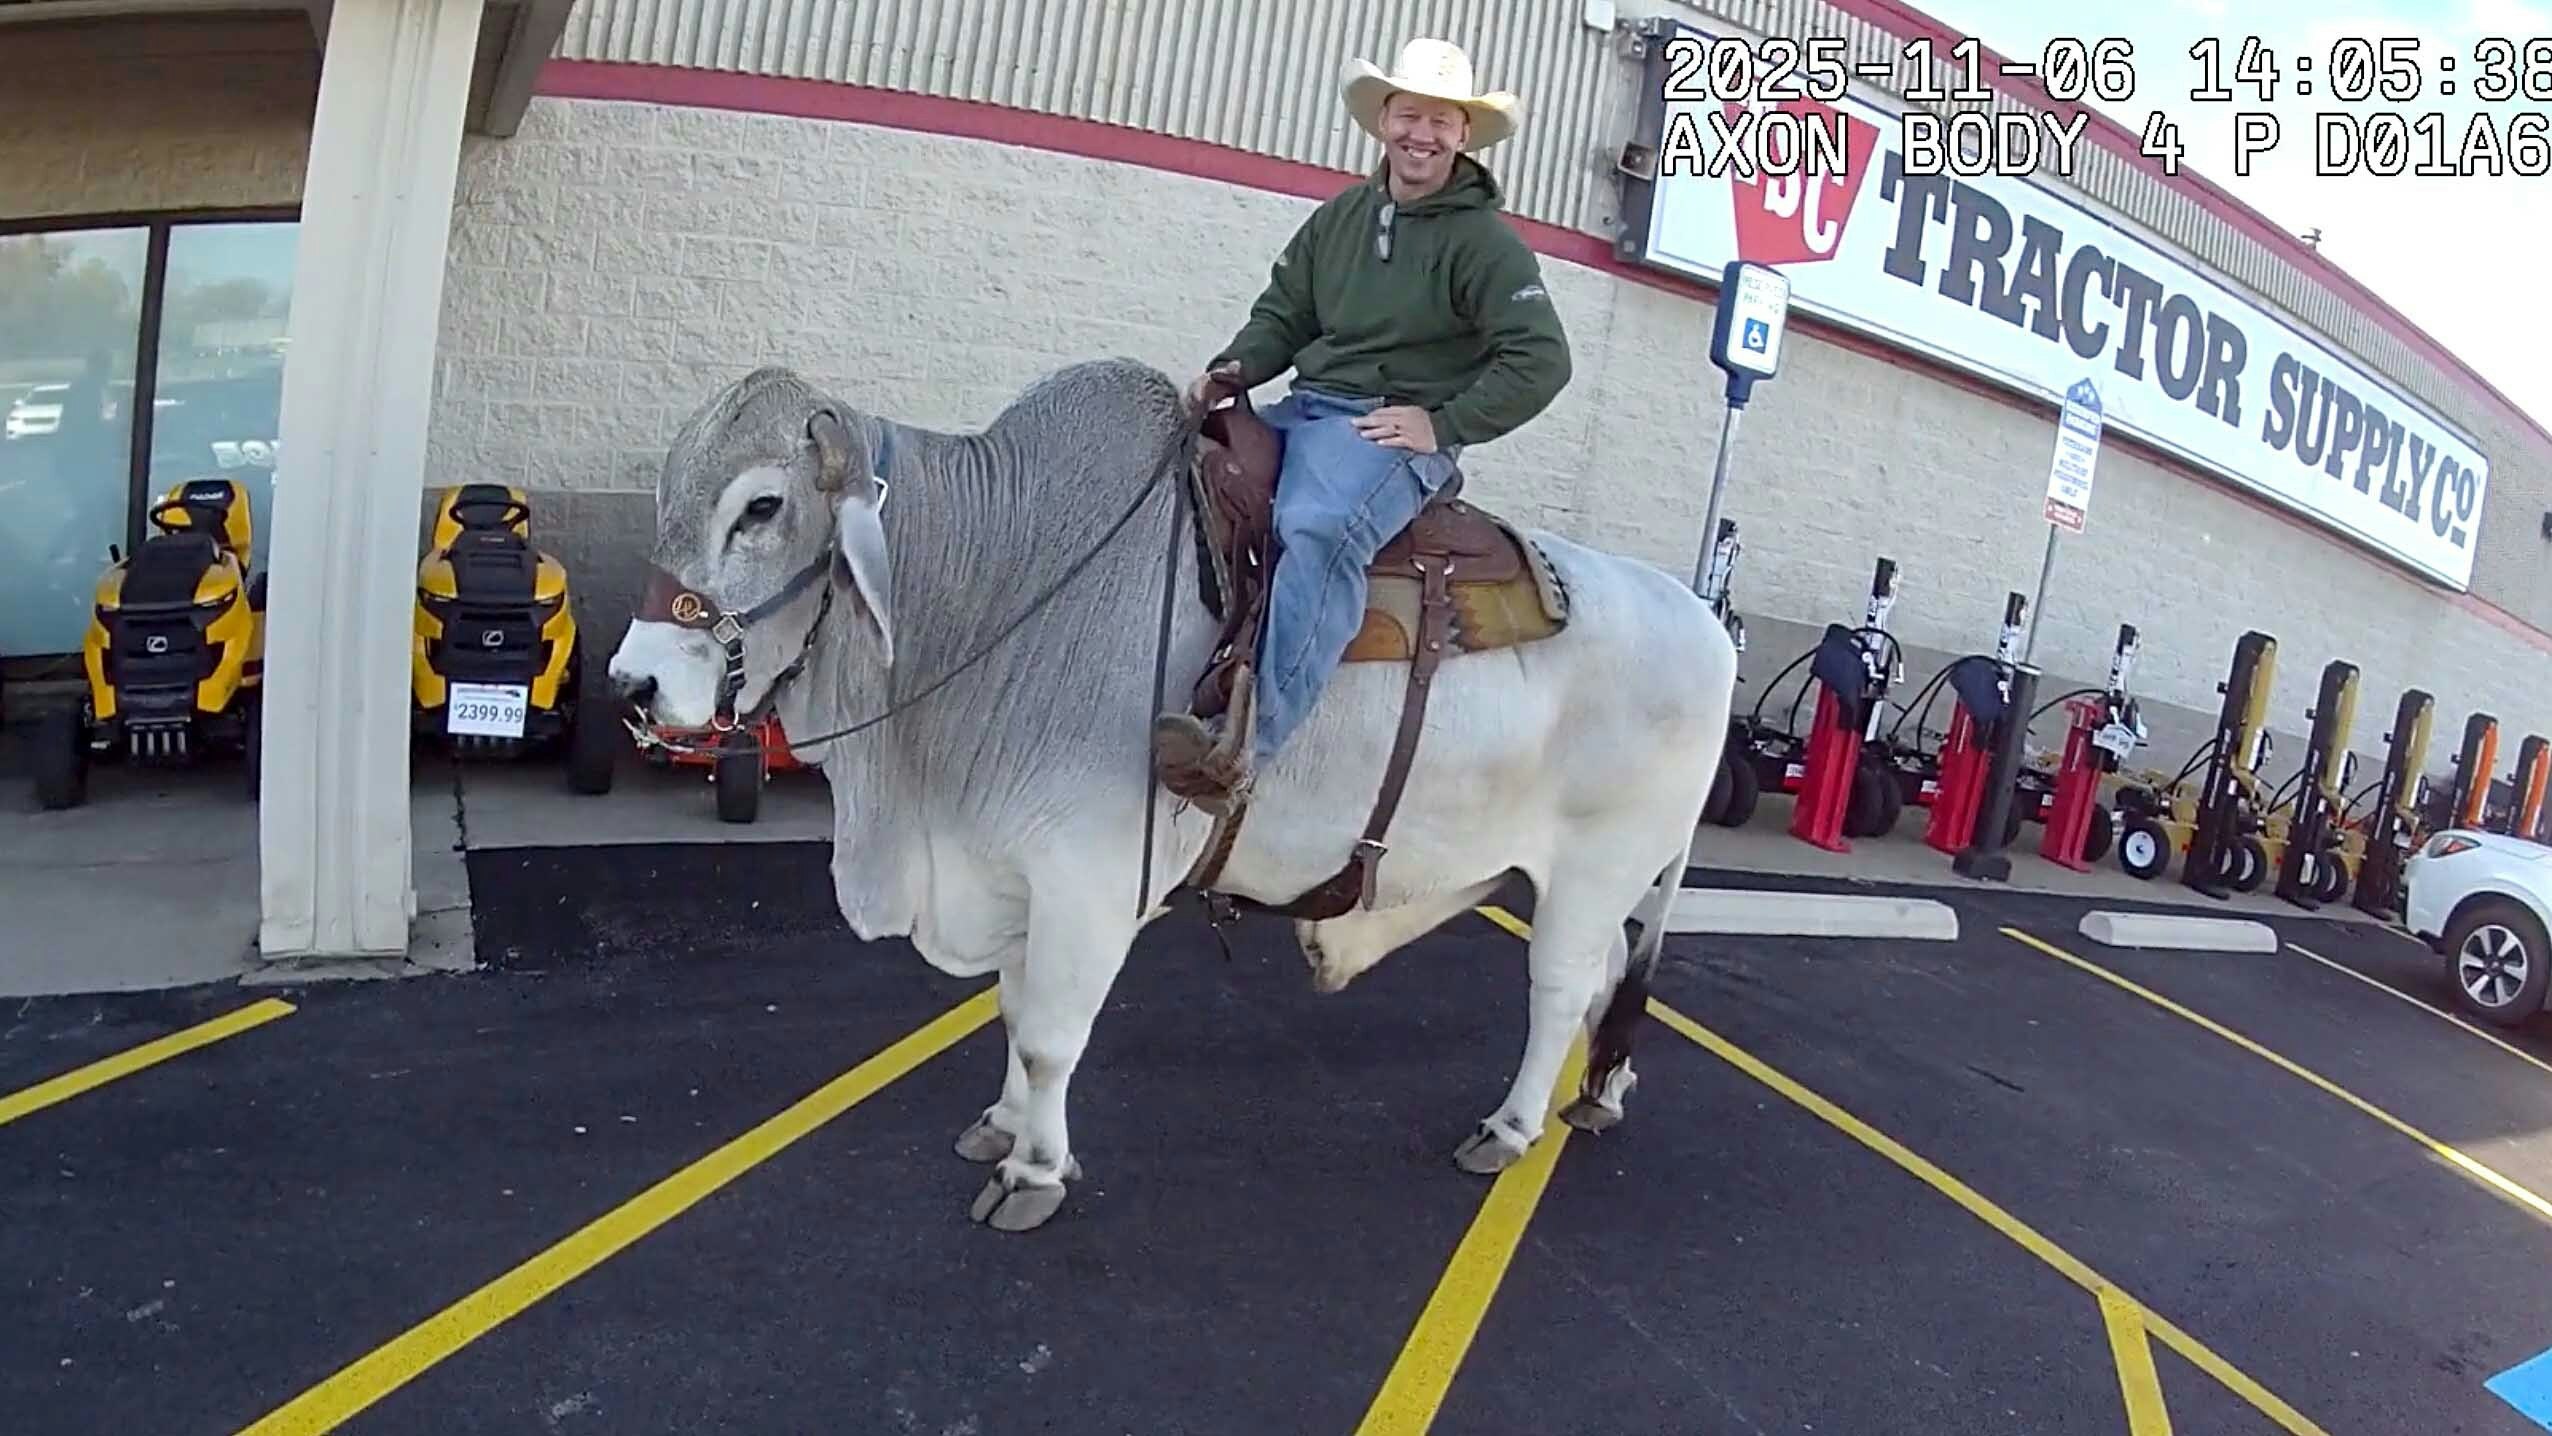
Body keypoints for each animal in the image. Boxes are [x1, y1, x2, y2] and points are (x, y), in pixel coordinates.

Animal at [606, 358, 1736, 1232]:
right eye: (665, 492)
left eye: (761, 506)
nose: (633, 685)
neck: (1000, 591)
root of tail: (1705, 619)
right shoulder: (1011, 871)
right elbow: (1012, 1013)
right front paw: (1004, 1128)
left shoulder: (1089, 880)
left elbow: (1049, 1036)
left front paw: (1034, 1171)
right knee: (1607, 984)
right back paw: (1601, 1092)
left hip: (1590, 872)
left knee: (1558, 992)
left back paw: (1510, 1125)